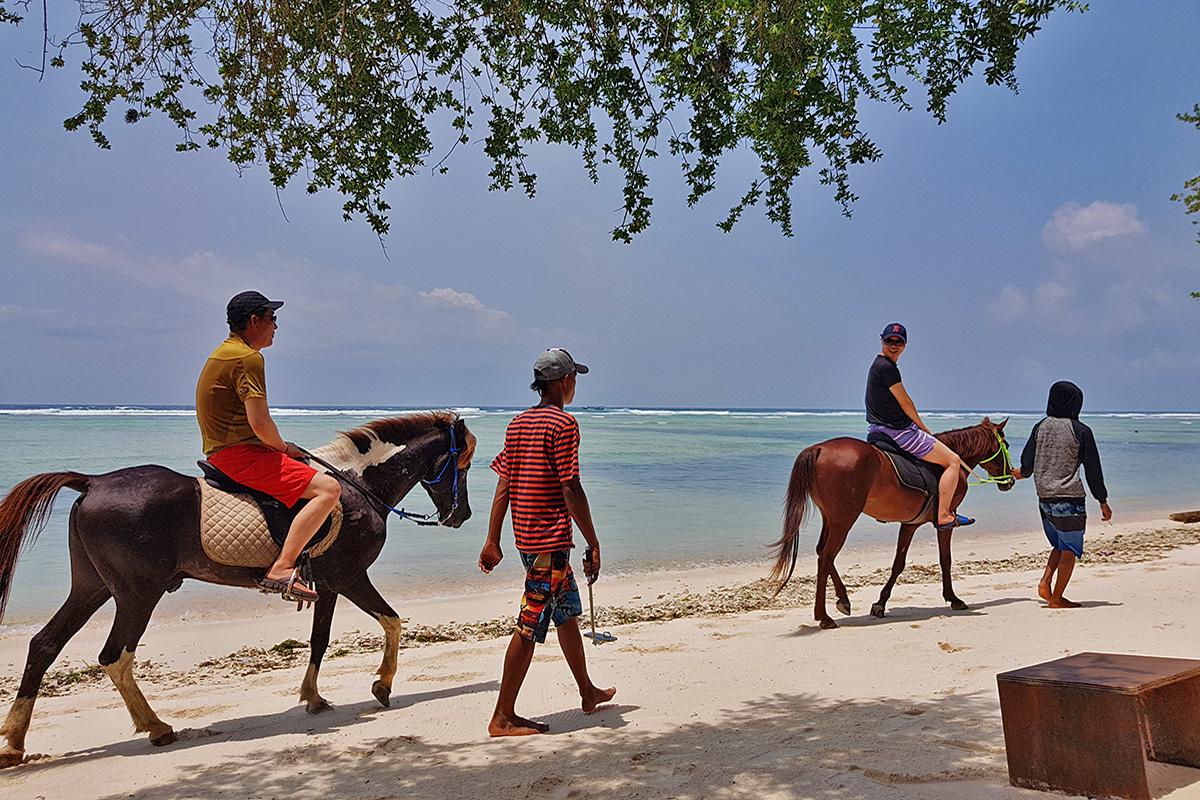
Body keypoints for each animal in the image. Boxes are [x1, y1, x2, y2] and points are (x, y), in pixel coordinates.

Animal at [0, 412, 475, 767]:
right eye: (464, 464)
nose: (463, 516)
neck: (357, 486)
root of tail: (92, 481)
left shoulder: (325, 585)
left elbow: (320, 640)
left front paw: (314, 696)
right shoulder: (349, 577)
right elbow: (392, 622)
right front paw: (382, 685)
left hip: (91, 587)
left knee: (44, 645)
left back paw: (15, 741)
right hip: (137, 595)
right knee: (114, 657)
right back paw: (156, 727)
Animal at [768, 417, 1012, 628]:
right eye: (1007, 445)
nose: (1009, 480)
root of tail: (819, 449)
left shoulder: (909, 524)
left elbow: (898, 563)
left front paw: (880, 604)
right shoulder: (945, 521)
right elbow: (945, 560)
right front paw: (953, 598)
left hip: (831, 519)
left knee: (822, 553)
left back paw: (843, 599)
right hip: (844, 521)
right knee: (827, 556)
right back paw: (824, 616)